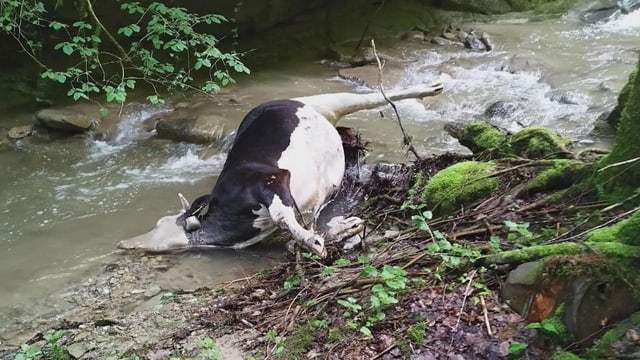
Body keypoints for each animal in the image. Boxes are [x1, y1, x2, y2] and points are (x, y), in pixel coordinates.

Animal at [117, 83, 442, 258]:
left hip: (327, 100)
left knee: (373, 96)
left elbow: (284, 217)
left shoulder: (270, 180)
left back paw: (432, 87)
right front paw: (343, 227)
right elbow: (303, 228)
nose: (122, 243)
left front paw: (315, 242)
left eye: (160, 224)